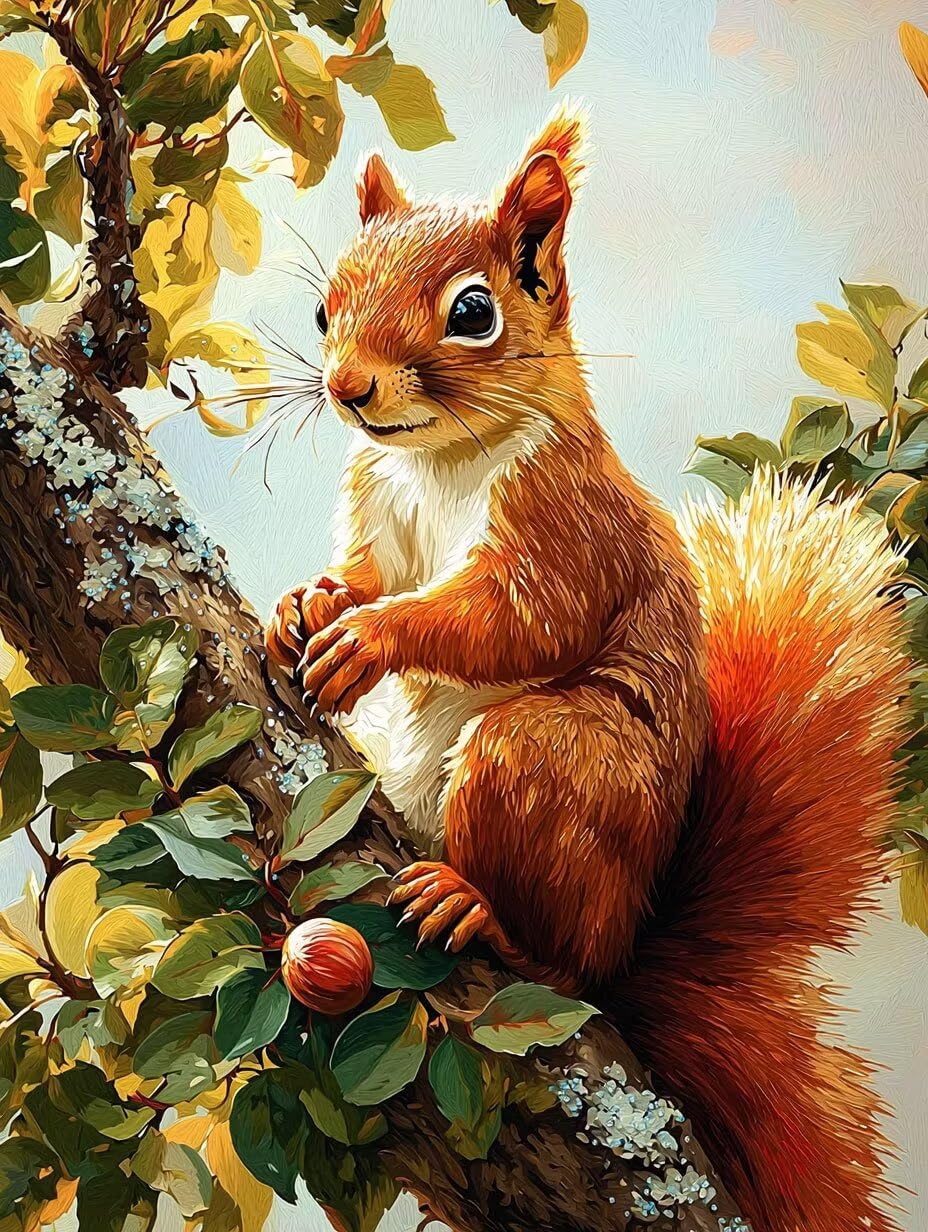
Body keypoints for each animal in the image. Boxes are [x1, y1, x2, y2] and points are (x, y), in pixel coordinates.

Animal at [265, 106, 911, 1232]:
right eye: (322, 307)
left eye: (472, 311)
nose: (348, 388)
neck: (440, 458)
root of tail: (633, 928)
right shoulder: (380, 506)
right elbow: (367, 572)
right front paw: (309, 604)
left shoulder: (569, 526)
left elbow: (517, 621)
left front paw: (375, 638)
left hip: (549, 759)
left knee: (564, 957)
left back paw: (473, 907)